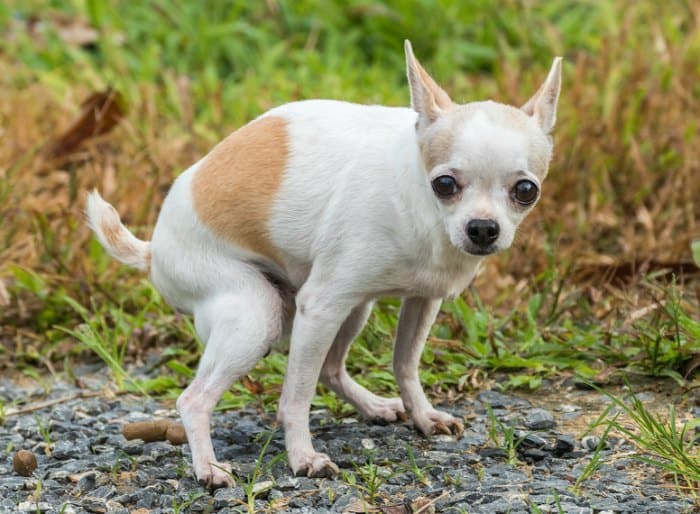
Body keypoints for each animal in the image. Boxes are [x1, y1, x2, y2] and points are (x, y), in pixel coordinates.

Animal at [86, 42, 564, 486]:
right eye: (445, 184)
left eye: (526, 190)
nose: (482, 228)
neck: (418, 200)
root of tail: (153, 250)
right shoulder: (319, 306)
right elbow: (296, 397)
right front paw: (302, 457)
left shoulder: (422, 299)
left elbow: (405, 364)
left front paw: (423, 415)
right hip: (256, 312)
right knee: (196, 399)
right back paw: (209, 468)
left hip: (354, 309)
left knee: (332, 369)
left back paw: (373, 406)